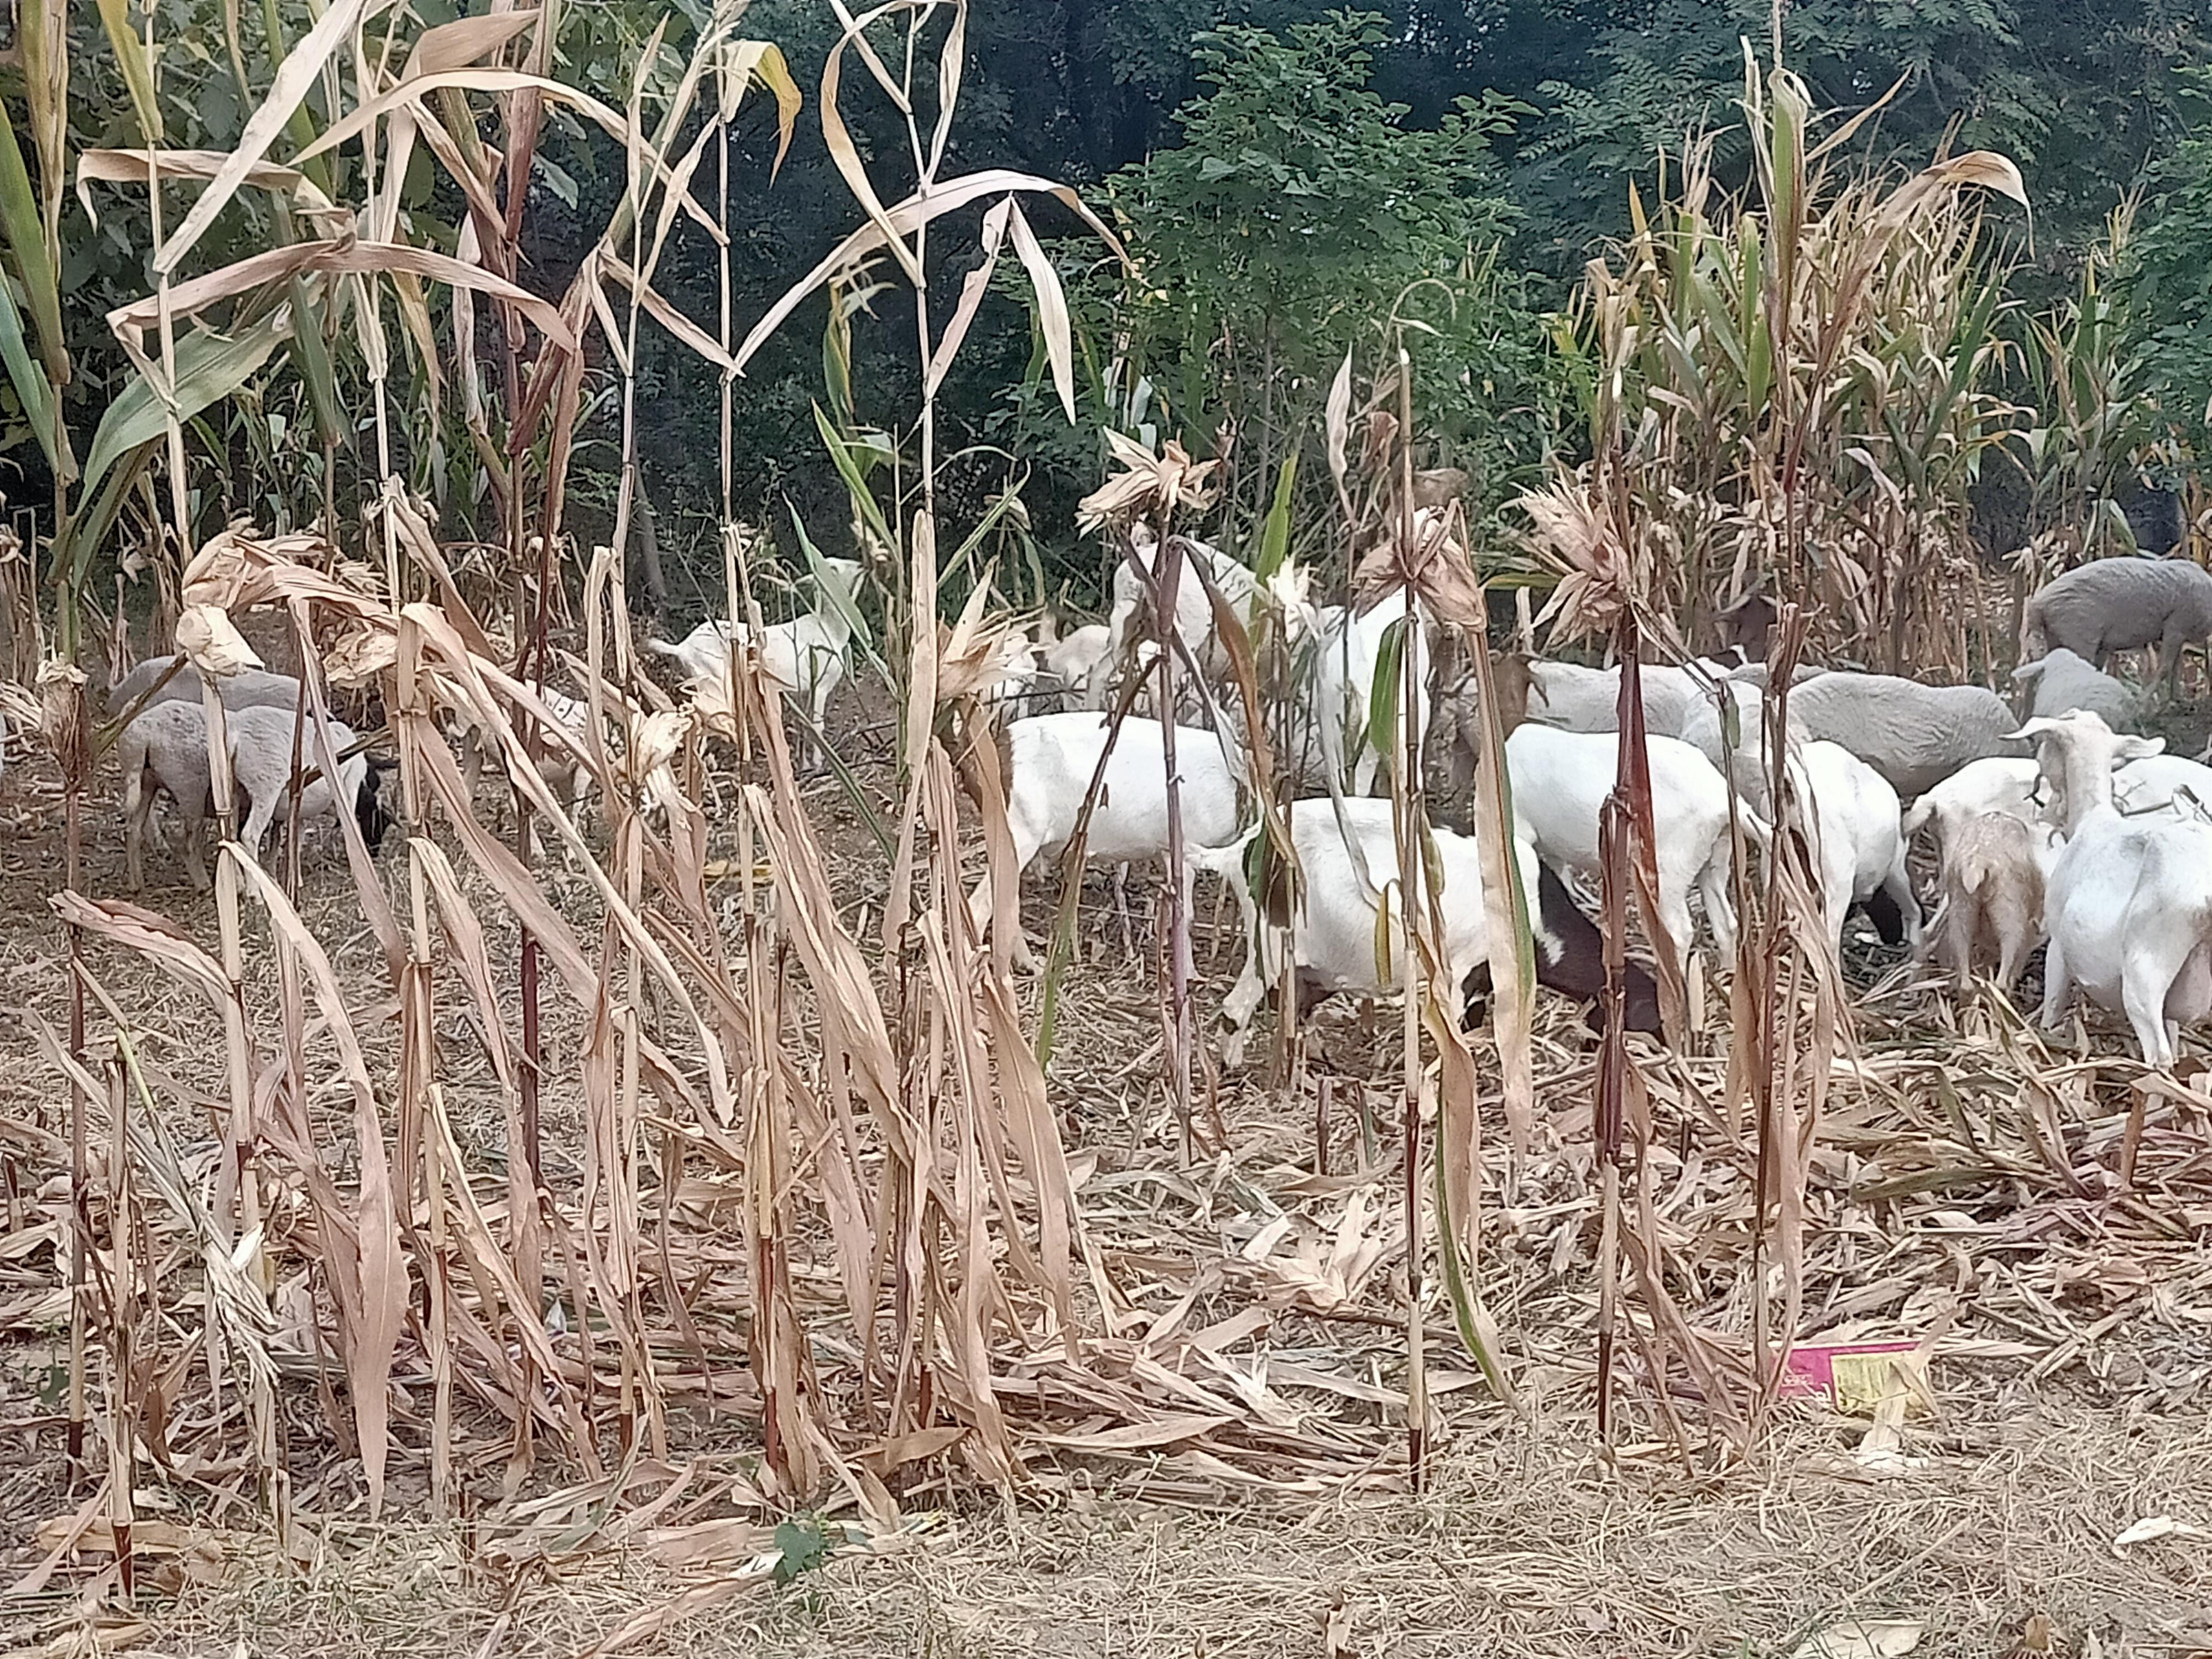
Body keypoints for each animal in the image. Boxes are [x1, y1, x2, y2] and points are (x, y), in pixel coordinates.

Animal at [2026, 560, 2212, 703]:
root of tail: (2039, 604)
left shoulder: (2180, 632)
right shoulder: (2176, 627)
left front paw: (2177, 700)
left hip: (2056, 638)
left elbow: (2176, 667)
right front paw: (2142, 703)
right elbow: (2166, 668)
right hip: (2078, 636)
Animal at [2026, 712, 2212, 1071]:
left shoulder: (2058, 943)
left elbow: (2053, 1004)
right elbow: (2174, 1033)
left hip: (2145, 968)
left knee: (2158, 1054)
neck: (2091, 816)